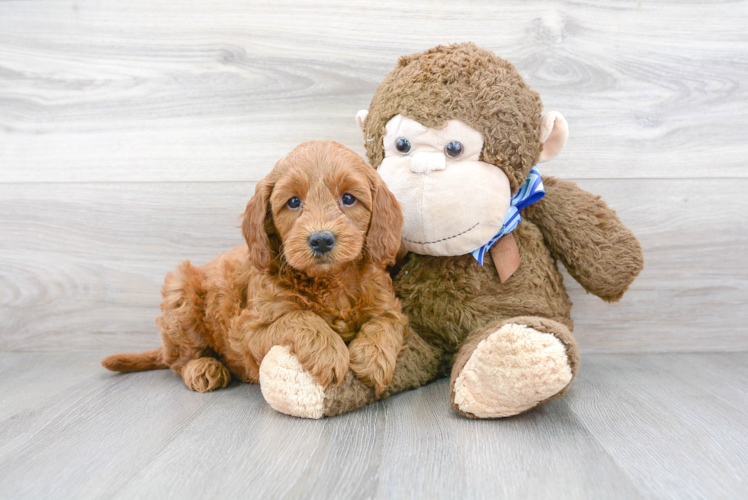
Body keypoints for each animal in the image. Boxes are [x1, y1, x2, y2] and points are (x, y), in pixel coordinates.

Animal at [102, 141, 406, 394]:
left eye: (349, 198)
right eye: (293, 202)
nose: (321, 239)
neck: (330, 282)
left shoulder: (388, 305)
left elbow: (385, 323)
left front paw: (373, 359)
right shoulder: (250, 332)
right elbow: (299, 317)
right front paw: (329, 351)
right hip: (181, 295)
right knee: (179, 359)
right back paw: (202, 368)